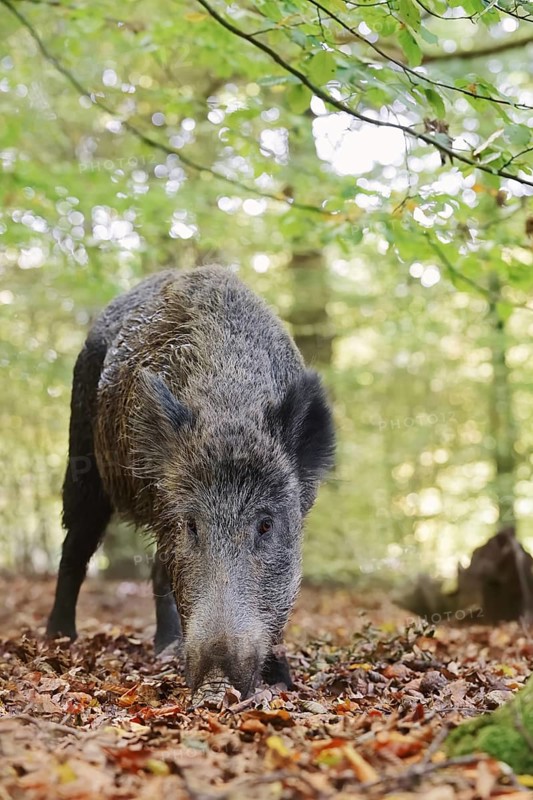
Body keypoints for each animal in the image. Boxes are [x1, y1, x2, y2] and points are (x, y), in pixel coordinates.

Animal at [47, 266, 335, 701]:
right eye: (193, 525)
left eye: (266, 525)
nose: (216, 679)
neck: (229, 408)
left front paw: (283, 681)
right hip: (82, 455)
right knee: (76, 547)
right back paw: (59, 639)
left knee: (154, 569)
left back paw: (164, 649)